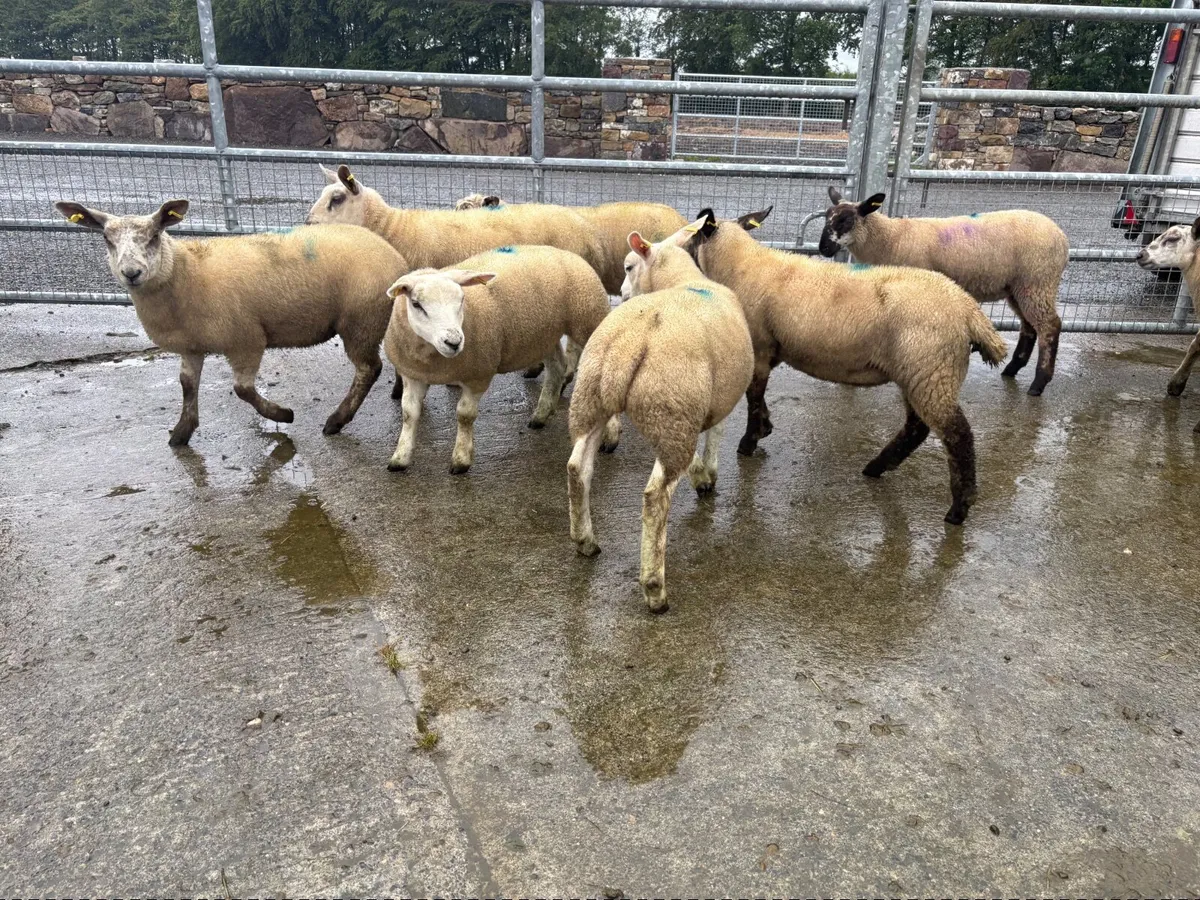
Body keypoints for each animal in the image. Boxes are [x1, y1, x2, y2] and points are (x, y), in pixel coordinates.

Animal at [55, 199, 406, 447]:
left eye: (155, 236)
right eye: (106, 239)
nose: (131, 273)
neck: (186, 274)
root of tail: (393, 255)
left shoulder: (246, 339)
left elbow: (242, 389)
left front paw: (282, 414)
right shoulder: (191, 345)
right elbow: (187, 385)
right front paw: (182, 433)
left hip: (360, 321)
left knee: (368, 370)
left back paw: (337, 420)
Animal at [384, 244, 616, 474]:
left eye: (462, 300)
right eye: (416, 304)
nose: (454, 342)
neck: (433, 360)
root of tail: (568, 254)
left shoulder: (478, 375)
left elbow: (464, 415)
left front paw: (461, 460)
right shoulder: (413, 375)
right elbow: (409, 414)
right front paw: (400, 458)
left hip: (589, 319)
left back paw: (610, 439)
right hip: (544, 334)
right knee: (557, 368)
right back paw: (540, 415)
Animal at [567, 224, 754, 613]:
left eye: (628, 267)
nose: (622, 294)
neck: (683, 279)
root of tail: (630, 342)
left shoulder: (699, 406)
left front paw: (701, 474)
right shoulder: (718, 401)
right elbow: (715, 438)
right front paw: (708, 477)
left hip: (595, 401)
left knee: (578, 469)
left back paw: (585, 540)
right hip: (671, 412)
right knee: (655, 497)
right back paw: (655, 589)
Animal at [687, 206, 1009, 525]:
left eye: (693, 237)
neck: (740, 265)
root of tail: (970, 310)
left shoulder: (761, 347)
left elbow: (754, 398)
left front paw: (748, 442)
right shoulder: (770, 350)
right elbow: (759, 398)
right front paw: (766, 427)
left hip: (931, 369)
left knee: (957, 435)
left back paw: (958, 508)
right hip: (922, 372)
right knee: (916, 428)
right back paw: (877, 467)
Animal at [819, 187, 1068, 397]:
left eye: (846, 220)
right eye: (827, 216)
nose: (823, 248)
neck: (890, 239)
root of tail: (1062, 237)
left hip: (1038, 281)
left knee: (1049, 326)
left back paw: (1038, 384)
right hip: (1020, 287)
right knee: (1030, 327)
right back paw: (1012, 369)